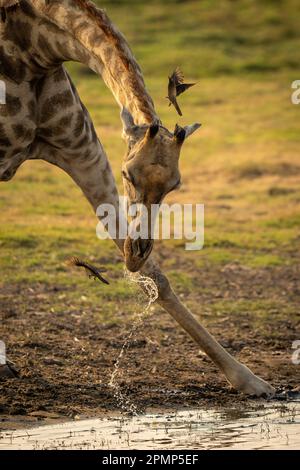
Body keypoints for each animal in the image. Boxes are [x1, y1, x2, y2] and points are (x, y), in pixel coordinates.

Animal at [0, 0, 276, 396]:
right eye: (128, 174)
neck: (32, 53)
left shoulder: (81, 150)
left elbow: (157, 279)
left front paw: (249, 379)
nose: (137, 252)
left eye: (175, 185)